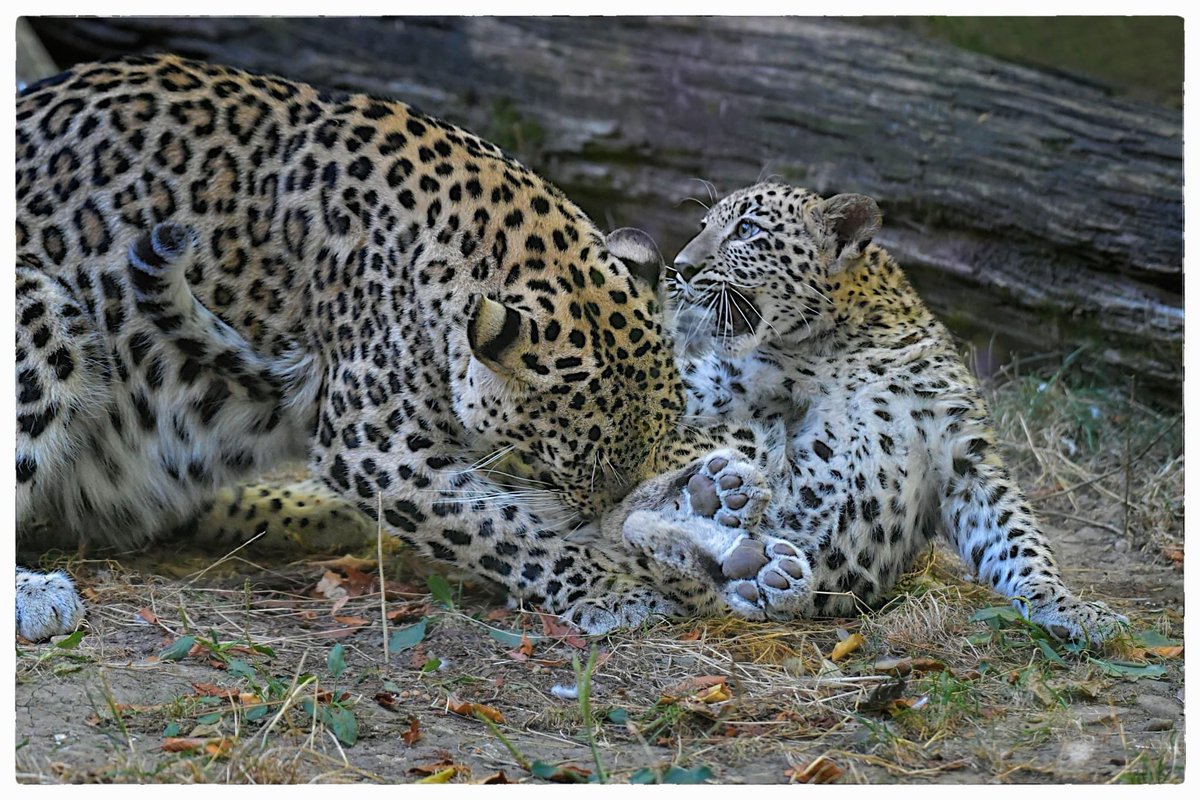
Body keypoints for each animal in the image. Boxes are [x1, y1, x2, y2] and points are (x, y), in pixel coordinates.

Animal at [15, 53, 757, 641]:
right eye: (571, 471)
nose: (605, 516)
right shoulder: (376, 447)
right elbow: (496, 527)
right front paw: (615, 586)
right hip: (38, 309)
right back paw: (37, 595)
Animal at [611, 180, 1129, 645]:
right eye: (704, 228)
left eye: (747, 230)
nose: (681, 267)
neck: (836, 342)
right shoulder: (712, 387)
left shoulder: (964, 455)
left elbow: (1017, 540)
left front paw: (1065, 605)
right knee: (625, 517)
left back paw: (751, 557)